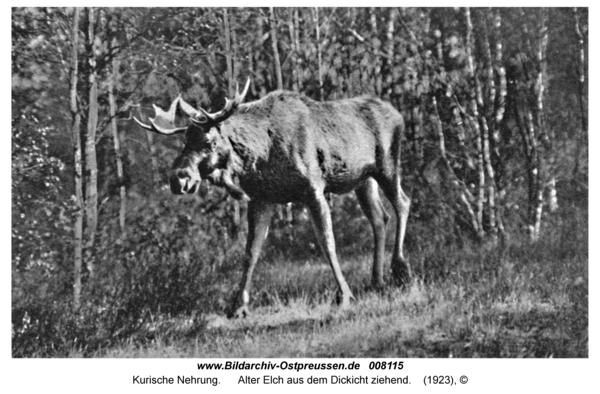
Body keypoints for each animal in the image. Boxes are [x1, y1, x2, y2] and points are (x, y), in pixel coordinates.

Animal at [134, 80, 410, 318]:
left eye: (208, 140)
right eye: (184, 140)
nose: (177, 178)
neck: (260, 155)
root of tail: (398, 114)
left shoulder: (314, 188)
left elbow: (327, 243)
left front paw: (343, 296)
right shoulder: (261, 198)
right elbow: (251, 252)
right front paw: (238, 306)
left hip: (387, 165)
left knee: (402, 203)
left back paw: (400, 269)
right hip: (363, 179)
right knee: (379, 217)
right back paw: (376, 280)